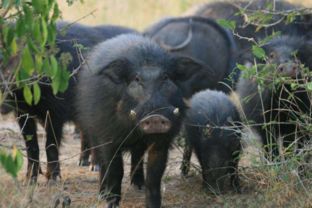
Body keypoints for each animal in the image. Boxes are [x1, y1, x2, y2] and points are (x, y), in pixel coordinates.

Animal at [0, 21, 136, 182]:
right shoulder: (23, 114)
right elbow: (31, 146)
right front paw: (30, 179)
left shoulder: (55, 113)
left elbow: (51, 144)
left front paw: (53, 178)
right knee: (85, 133)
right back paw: (82, 161)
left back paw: (95, 165)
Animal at [75, 34, 217, 208]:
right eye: (137, 79)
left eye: (165, 77)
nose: (155, 117)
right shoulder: (108, 138)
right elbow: (115, 170)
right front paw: (112, 203)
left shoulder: (162, 141)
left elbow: (154, 175)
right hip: (92, 132)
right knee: (102, 163)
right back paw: (102, 194)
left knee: (137, 158)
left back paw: (138, 186)